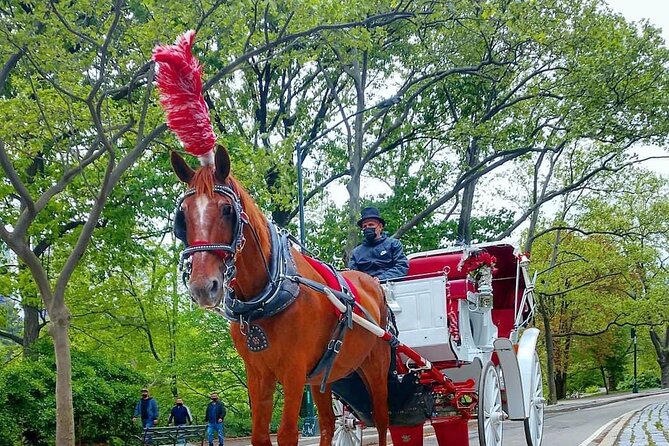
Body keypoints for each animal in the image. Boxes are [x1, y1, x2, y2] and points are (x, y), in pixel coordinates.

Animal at [172, 147, 392, 446]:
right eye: (183, 216)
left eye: (227, 210)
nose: (203, 287)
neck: (264, 299)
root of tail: (375, 284)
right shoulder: (257, 373)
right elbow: (260, 435)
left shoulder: (294, 370)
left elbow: (288, 433)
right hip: (322, 377)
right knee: (327, 423)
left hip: (376, 365)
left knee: (382, 420)